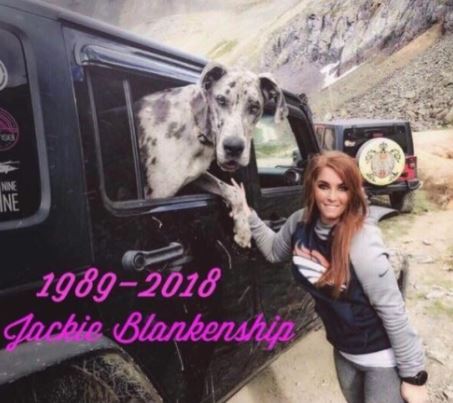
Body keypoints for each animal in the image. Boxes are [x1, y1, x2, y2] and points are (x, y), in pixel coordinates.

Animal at [136, 63, 288, 247]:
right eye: (221, 100)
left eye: (255, 107)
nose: (233, 147)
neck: (196, 127)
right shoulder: (155, 196)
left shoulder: (197, 174)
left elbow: (231, 190)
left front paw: (243, 230)